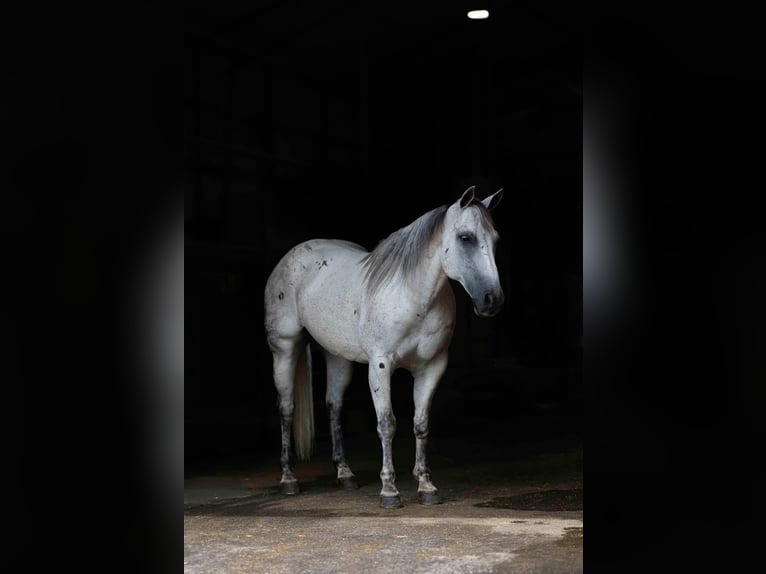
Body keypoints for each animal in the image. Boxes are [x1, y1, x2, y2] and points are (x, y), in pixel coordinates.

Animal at [264, 186, 504, 508]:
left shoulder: (432, 368)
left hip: (337, 356)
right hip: (285, 350)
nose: (492, 300)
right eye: (466, 237)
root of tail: (293, 255)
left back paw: (345, 474)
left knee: (334, 406)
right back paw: (288, 479)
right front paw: (389, 490)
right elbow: (387, 423)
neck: (413, 296)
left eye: (495, 239)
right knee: (287, 408)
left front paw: (426, 486)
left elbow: (421, 423)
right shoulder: (380, 365)